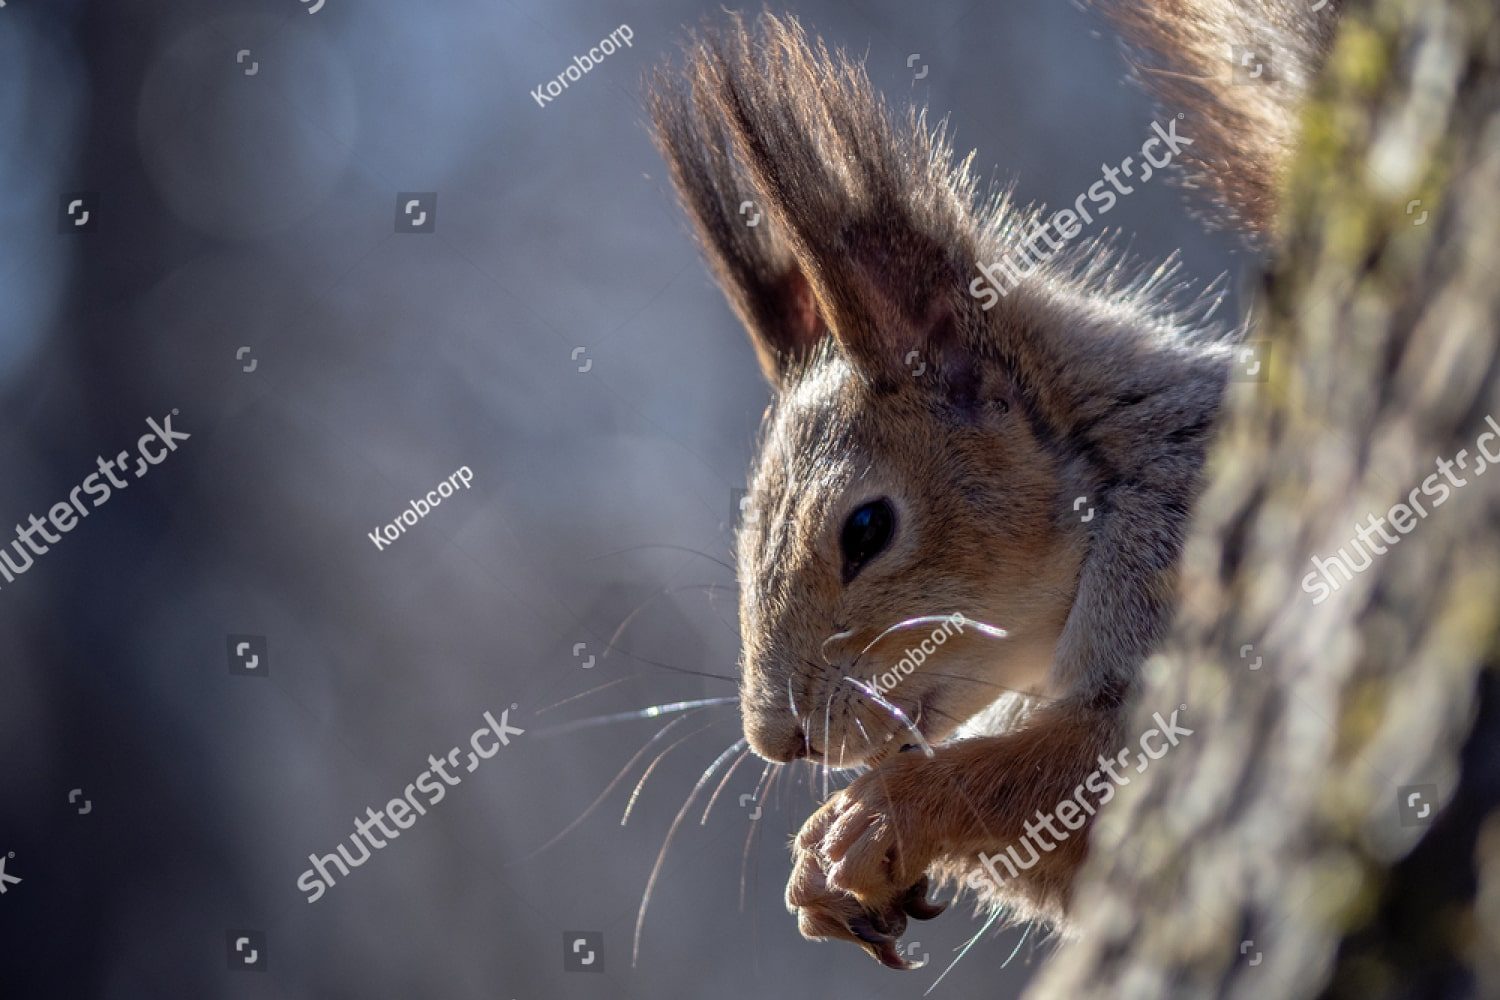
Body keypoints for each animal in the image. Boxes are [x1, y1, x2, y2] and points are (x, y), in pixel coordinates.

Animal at [649, 0, 1342, 970]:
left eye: (866, 529)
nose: (775, 742)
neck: (1114, 483)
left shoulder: (1182, 544)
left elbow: (1126, 760)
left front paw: (876, 813)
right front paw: (822, 870)